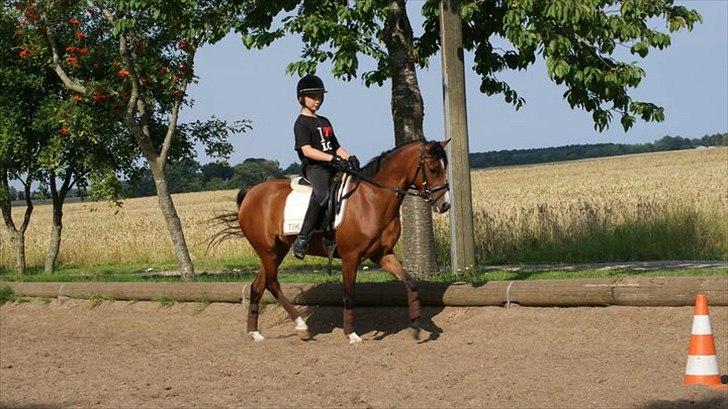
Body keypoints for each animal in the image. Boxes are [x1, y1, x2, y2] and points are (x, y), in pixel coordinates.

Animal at [216, 139, 451, 343]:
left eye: (444, 167)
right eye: (433, 169)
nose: (445, 205)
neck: (372, 198)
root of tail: (250, 193)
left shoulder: (382, 255)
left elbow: (410, 284)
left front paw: (417, 326)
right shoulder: (350, 257)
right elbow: (348, 295)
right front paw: (351, 335)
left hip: (276, 251)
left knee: (258, 286)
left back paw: (255, 333)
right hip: (268, 251)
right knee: (272, 284)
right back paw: (301, 326)